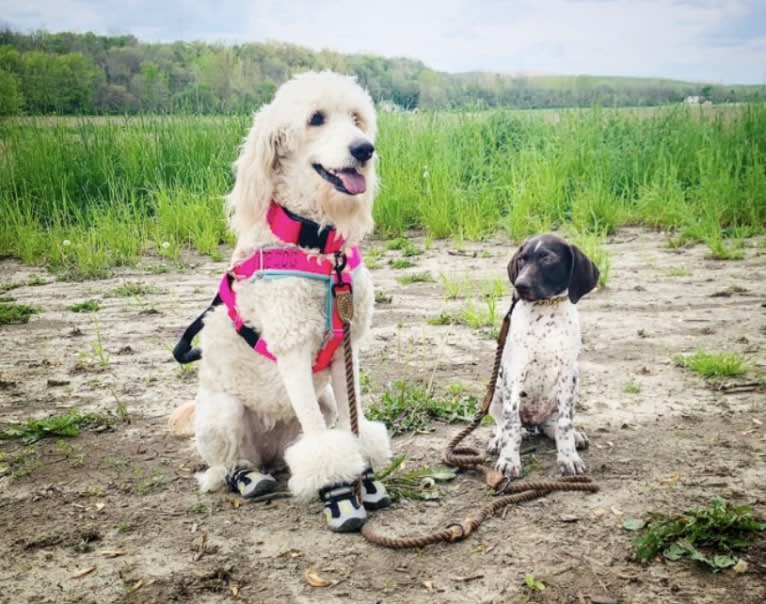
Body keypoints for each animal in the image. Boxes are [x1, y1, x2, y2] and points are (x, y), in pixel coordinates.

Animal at [170, 72, 392, 532]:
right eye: (316, 119)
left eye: (357, 118)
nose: (364, 150)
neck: (318, 247)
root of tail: (269, 452)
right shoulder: (292, 349)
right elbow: (324, 445)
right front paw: (339, 494)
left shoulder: (346, 349)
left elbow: (354, 425)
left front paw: (366, 476)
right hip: (223, 414)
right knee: (224, 467)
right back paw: (248, 478)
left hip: (321, 402)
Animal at [488, 234, 604, 478]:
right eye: (522, 259)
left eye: (548, 258)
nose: (520, 285)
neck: (546, 308)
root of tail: (532, 422)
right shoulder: (515, 372)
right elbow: (511, 423)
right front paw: (509, 459)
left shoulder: (567, 373)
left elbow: (565, 422)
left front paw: (568, 457)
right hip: (496, 389)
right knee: (503, 422)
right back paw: (499, 439)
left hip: (574, 380)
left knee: (553, 422)